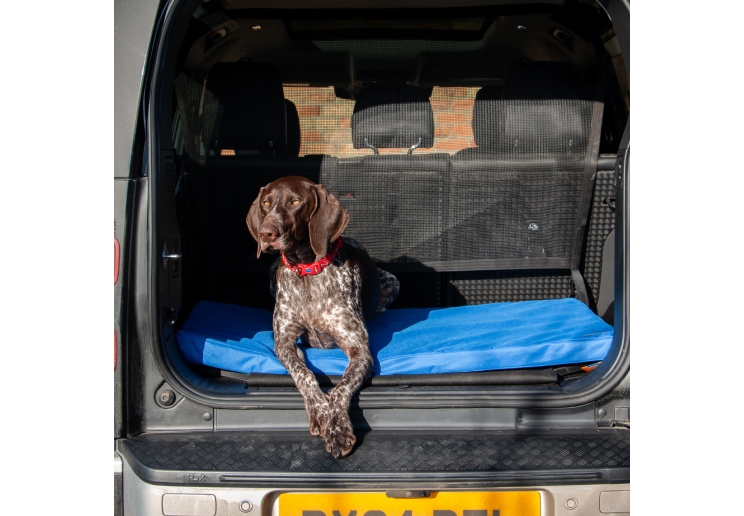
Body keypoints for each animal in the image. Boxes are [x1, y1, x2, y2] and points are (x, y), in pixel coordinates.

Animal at [247, 176, 398, 456]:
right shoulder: (284, 343)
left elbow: (341, 388)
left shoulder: (359, 350)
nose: (266, 233)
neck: (308, 270)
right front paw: (320, 409)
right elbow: (303, 374)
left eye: (295, 201)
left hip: (394, 281)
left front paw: (336, 426)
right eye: (266, 203)